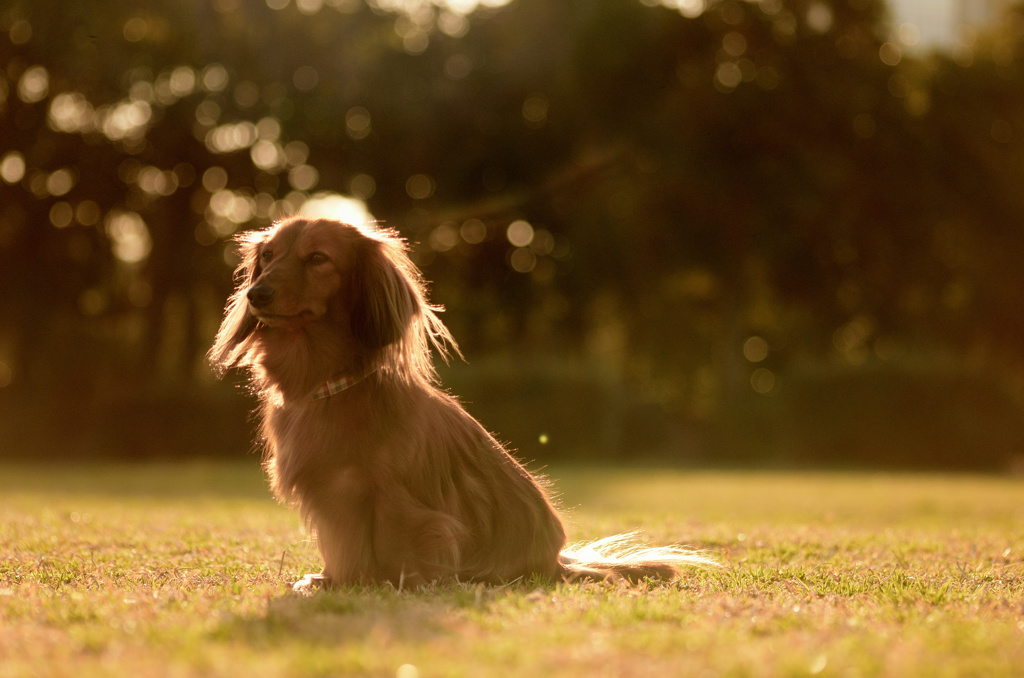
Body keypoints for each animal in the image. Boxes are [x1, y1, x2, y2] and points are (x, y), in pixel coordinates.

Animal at [207, 218, 712, 589]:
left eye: (318, 258)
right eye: (268, 256)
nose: (256, 294)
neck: (329, 385)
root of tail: (555, 560)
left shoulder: (397, 503)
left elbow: (396, 545)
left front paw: (387, 585)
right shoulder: (331, 504)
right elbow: (343, 550)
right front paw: (332, 580)